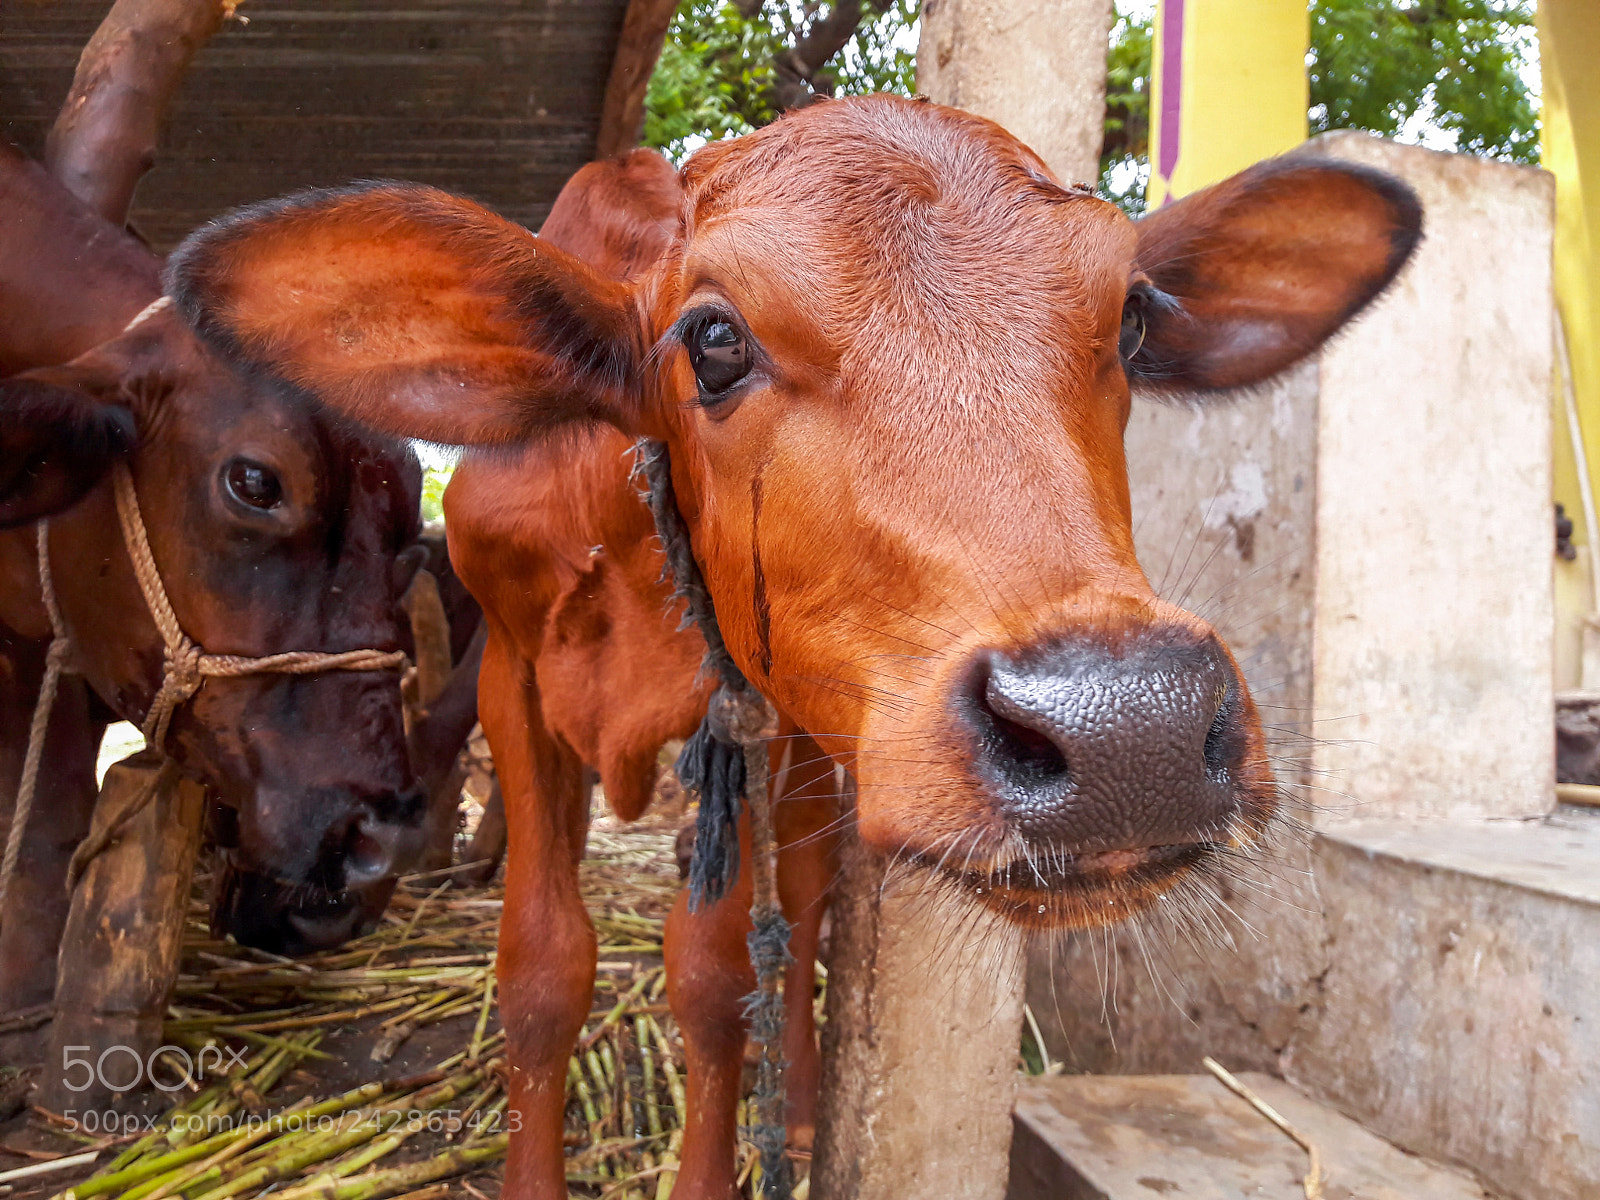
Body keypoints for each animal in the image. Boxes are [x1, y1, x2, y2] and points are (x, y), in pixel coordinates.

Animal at [167, 95, 1423, 1200]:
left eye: (1130, 318)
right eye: (712, 339)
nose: (1132, 732)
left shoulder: (754, 713)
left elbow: (718, 976)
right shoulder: (511, 678)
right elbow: (540, 967)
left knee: (810, 905)